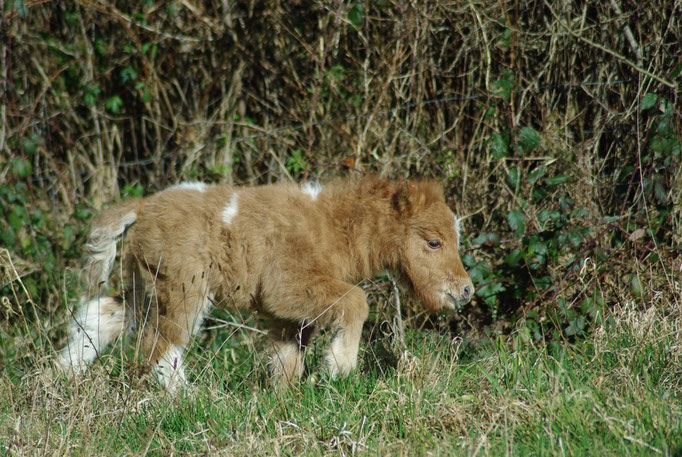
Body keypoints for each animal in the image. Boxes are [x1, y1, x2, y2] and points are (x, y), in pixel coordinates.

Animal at [58, 175, 472, 388]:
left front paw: (284, 399)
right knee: (160, 344)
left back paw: (62, 374)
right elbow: (356, 301)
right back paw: (189, 399)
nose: (465, 290)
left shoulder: (288, 314)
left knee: (102, 316)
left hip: (144, 285)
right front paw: (338, 367)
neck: (330, 226)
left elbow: (287, 356)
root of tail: (143, 206)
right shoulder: (286, 288)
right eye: (433, 242)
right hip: (183, 287)